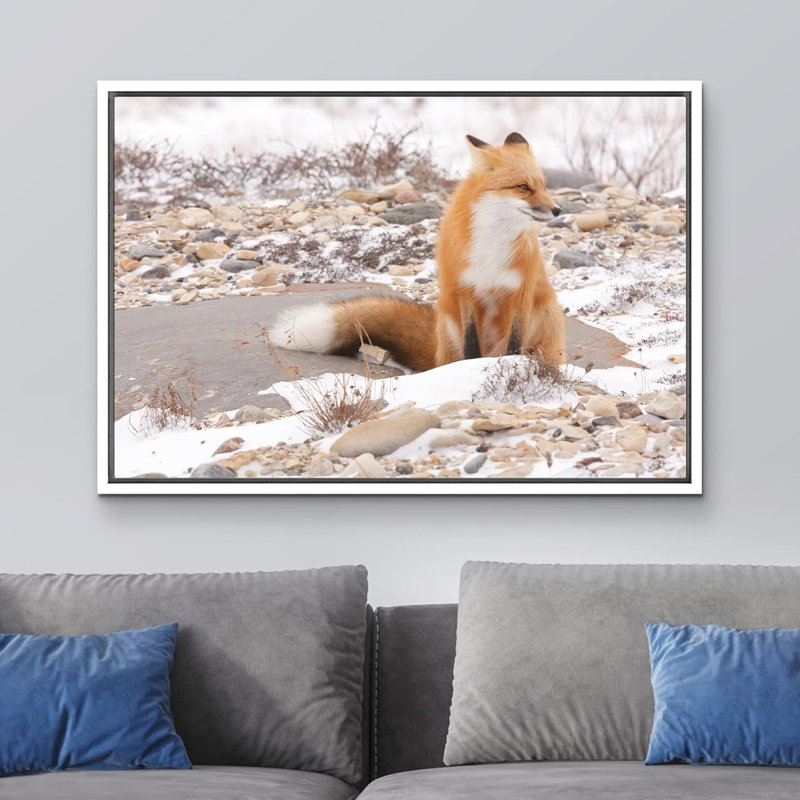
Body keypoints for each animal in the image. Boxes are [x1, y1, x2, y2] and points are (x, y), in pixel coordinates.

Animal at [270, 132, 566, 372]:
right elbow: (471, 346)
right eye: (523, 187)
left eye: (543, 185)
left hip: (547, 314)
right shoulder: (464, 290)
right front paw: (470, 370)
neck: (493, 246)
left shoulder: (520, 292)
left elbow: (514, 344)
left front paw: (512, 365)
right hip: (448, 322)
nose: (558, 210)